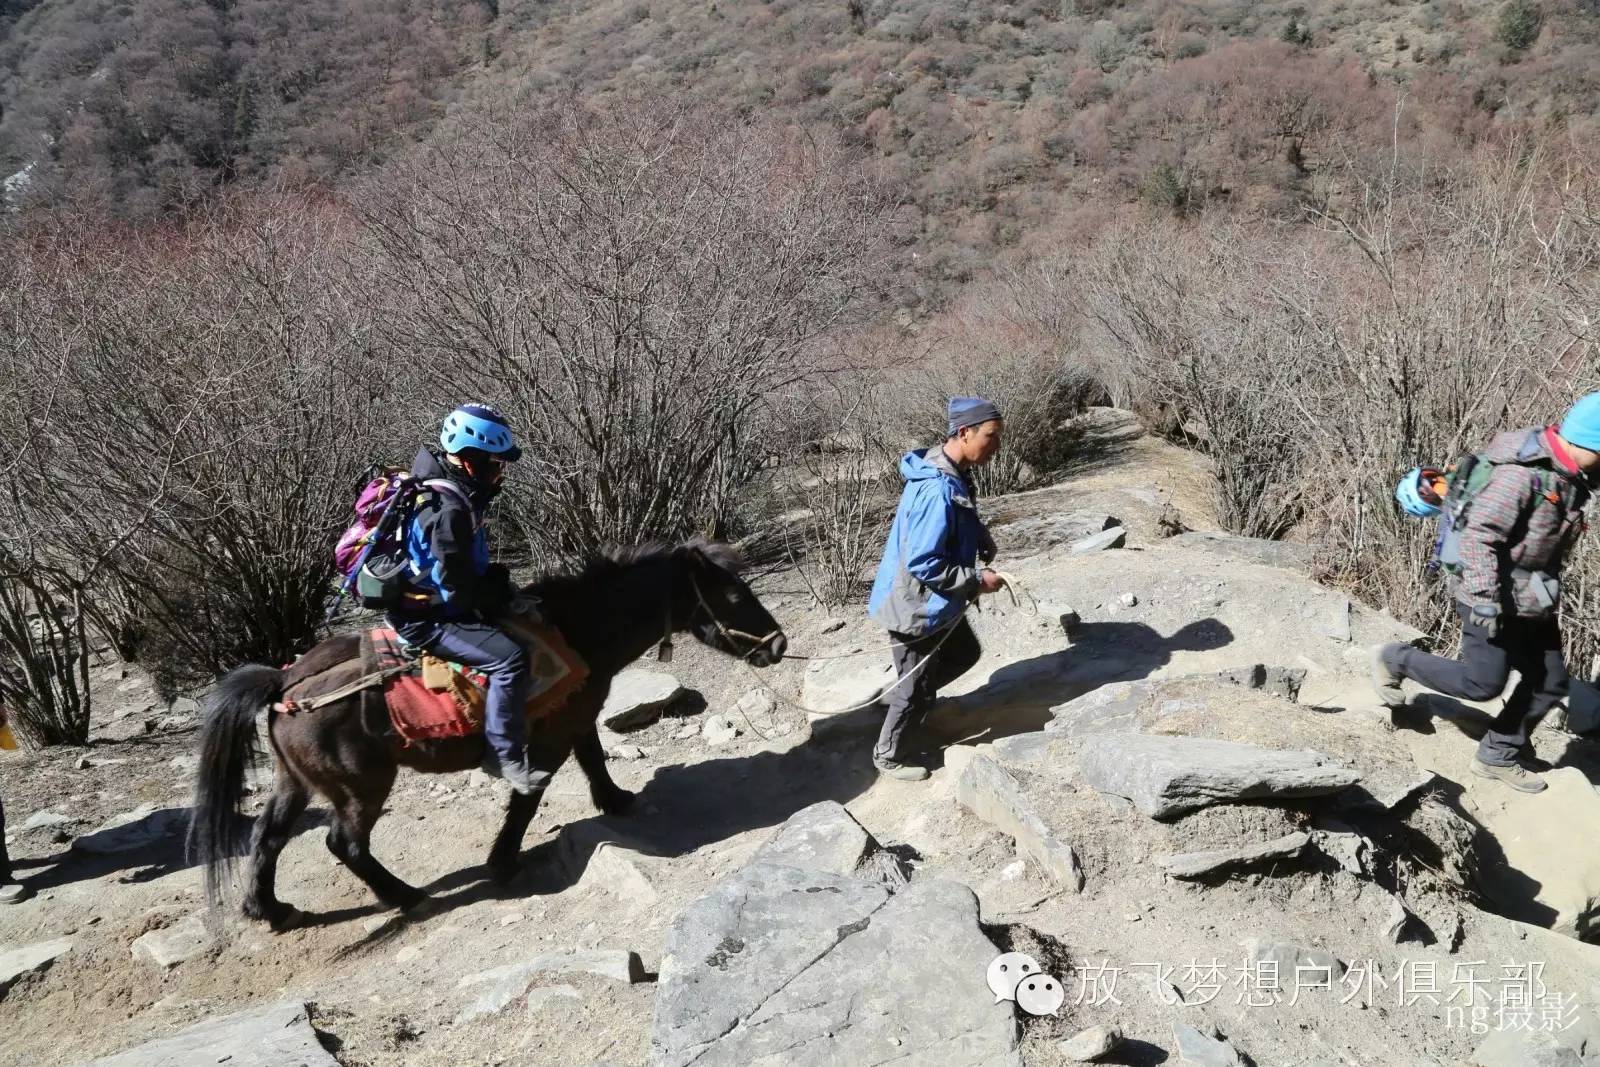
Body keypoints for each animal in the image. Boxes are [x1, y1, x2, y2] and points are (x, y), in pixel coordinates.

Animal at [190, 537, 784, 927]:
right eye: (733, 596)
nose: (777, 645)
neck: (577, 628)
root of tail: (286, 683)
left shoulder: (576, 717)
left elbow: (593, 759)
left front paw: (617, 801)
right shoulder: (548, 737)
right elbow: (529, 796)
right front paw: (503, 862)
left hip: (296, 783)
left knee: (267, 837)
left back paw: (269, 909)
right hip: (361, 787)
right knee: (345, 843)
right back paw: (408, 897)